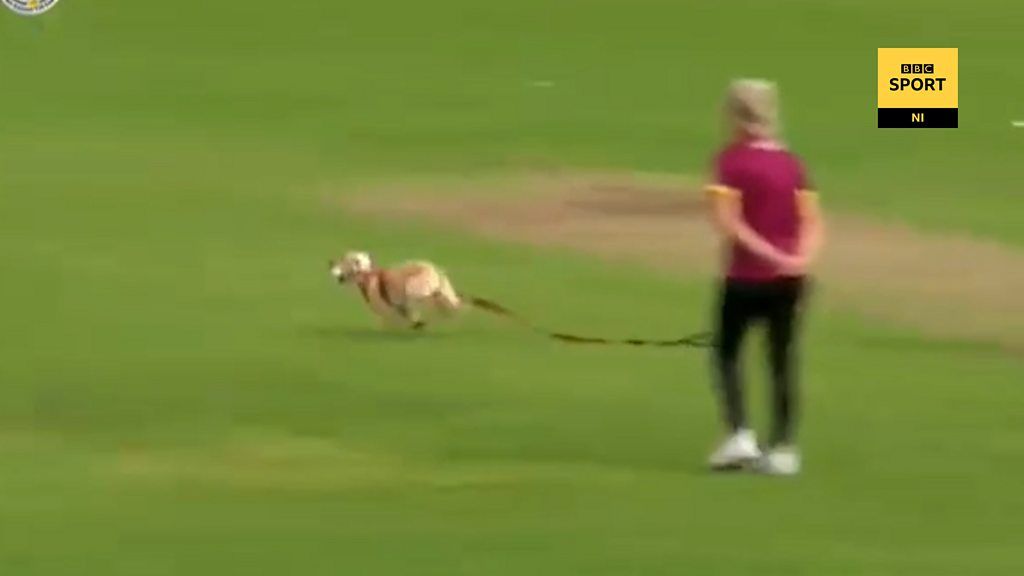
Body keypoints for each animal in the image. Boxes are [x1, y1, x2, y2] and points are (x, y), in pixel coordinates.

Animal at [329, 250, 462, 330]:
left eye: (343, 260)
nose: (330, 262)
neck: (366, 274)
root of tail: (434, 271)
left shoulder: (389, 314)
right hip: (443, 292)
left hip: (413, 288)